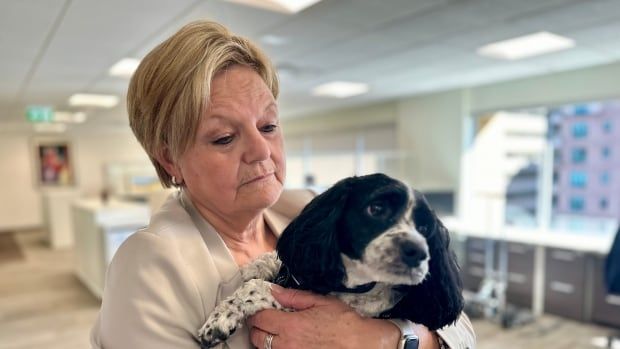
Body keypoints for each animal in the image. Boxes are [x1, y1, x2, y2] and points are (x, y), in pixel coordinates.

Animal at [196, 173, 462, 346]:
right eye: (376, 208)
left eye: (424, 228)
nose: (418, 251)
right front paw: (257, 265)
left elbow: (256, 290)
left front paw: (217, 322)